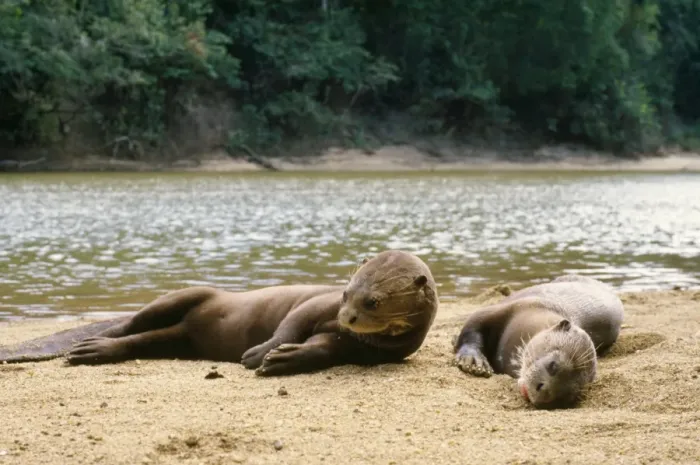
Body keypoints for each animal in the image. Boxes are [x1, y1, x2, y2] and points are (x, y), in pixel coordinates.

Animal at [0, 250, 439, 376]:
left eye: (373, 302)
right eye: (347, 292)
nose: (347, 317)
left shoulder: (368, 349)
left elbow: (324, 348)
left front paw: (283, 359)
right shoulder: (319, 302)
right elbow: (292, 322)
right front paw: (259, 354)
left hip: (180, 339)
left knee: (143, 340)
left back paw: (94, 351)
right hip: (185, 295)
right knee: (131, 322)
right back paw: (91, 342)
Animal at [452, 275, 624, 409]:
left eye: (569, 395)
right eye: (553, 365)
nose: (546, 398)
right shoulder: (508, 308)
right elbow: (472, 328)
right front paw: (473, 361)